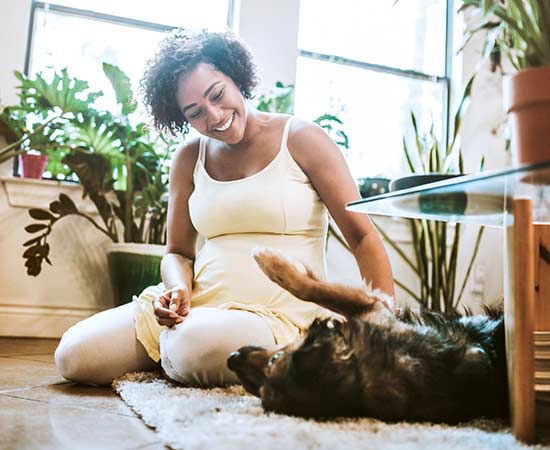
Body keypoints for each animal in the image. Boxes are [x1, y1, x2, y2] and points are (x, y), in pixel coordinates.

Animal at [227, 248, 508, 424]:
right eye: (261, 390)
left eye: (274, 363)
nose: (231, 358)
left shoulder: (375, 307)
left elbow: (311, 289)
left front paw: (271, 263)